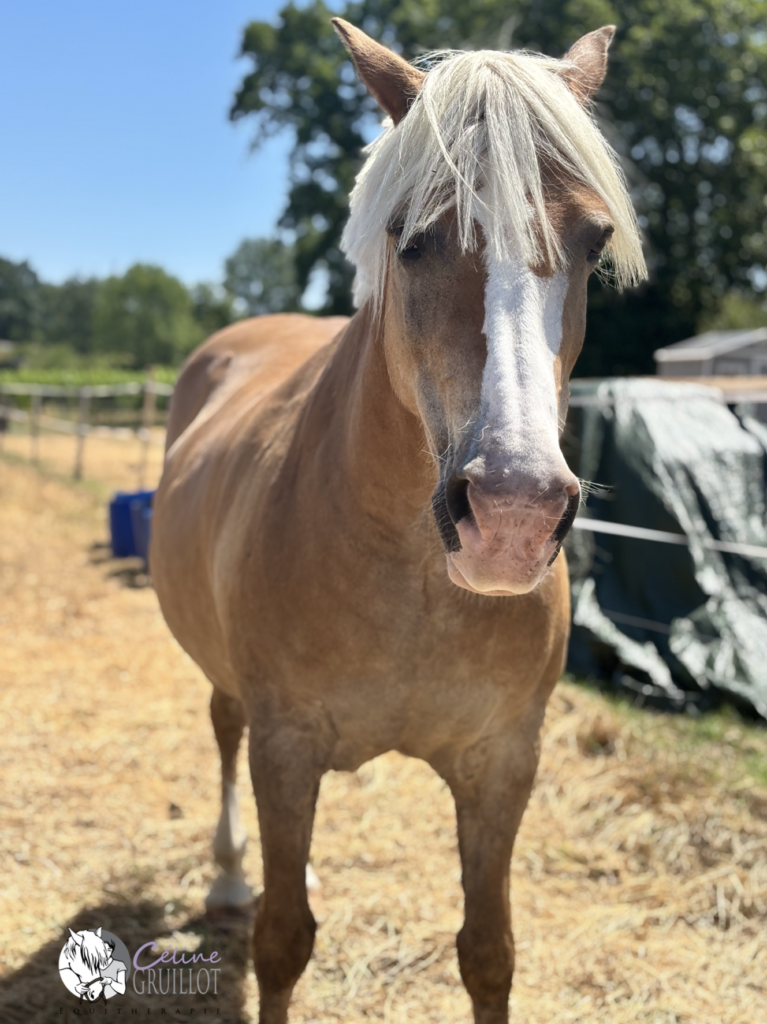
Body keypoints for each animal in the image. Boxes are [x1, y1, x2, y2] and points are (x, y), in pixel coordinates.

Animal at [151, 19, 646, 1023]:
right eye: (411, 241)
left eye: (593, 241)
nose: (512, 513)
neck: (411, 575)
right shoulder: (286, 747)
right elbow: (282, 939)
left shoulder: (503, 761)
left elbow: (489, 952)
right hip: (230, 691)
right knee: (221, 734)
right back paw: (226, 878)